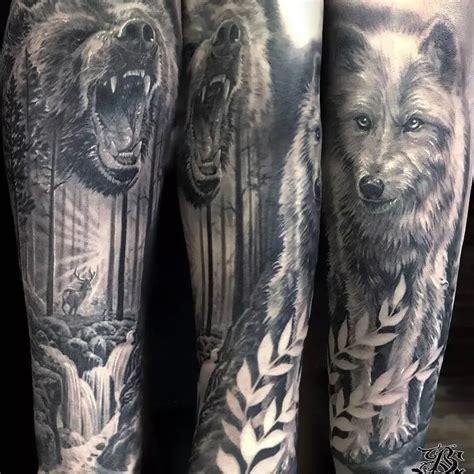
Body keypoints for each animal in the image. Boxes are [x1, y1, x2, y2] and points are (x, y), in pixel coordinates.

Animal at [324, 10, 471, 464]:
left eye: (414, 124)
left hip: (437, 304)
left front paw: (389, 430)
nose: (370, 186)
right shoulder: (359, 285)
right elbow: (363, 357)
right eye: (362, 121)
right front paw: (357, 437)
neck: (391, 230)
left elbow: (401, 362)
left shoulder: (416, 288)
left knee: (422, 370)